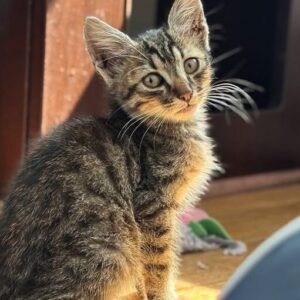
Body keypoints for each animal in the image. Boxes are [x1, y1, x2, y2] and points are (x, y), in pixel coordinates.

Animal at [1, 0, 219, 298]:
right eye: (152, 80)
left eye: (191, 64)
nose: (186, 93)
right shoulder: (152, 208)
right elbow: (159, 263)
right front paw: (163, 294)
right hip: (113, 249)